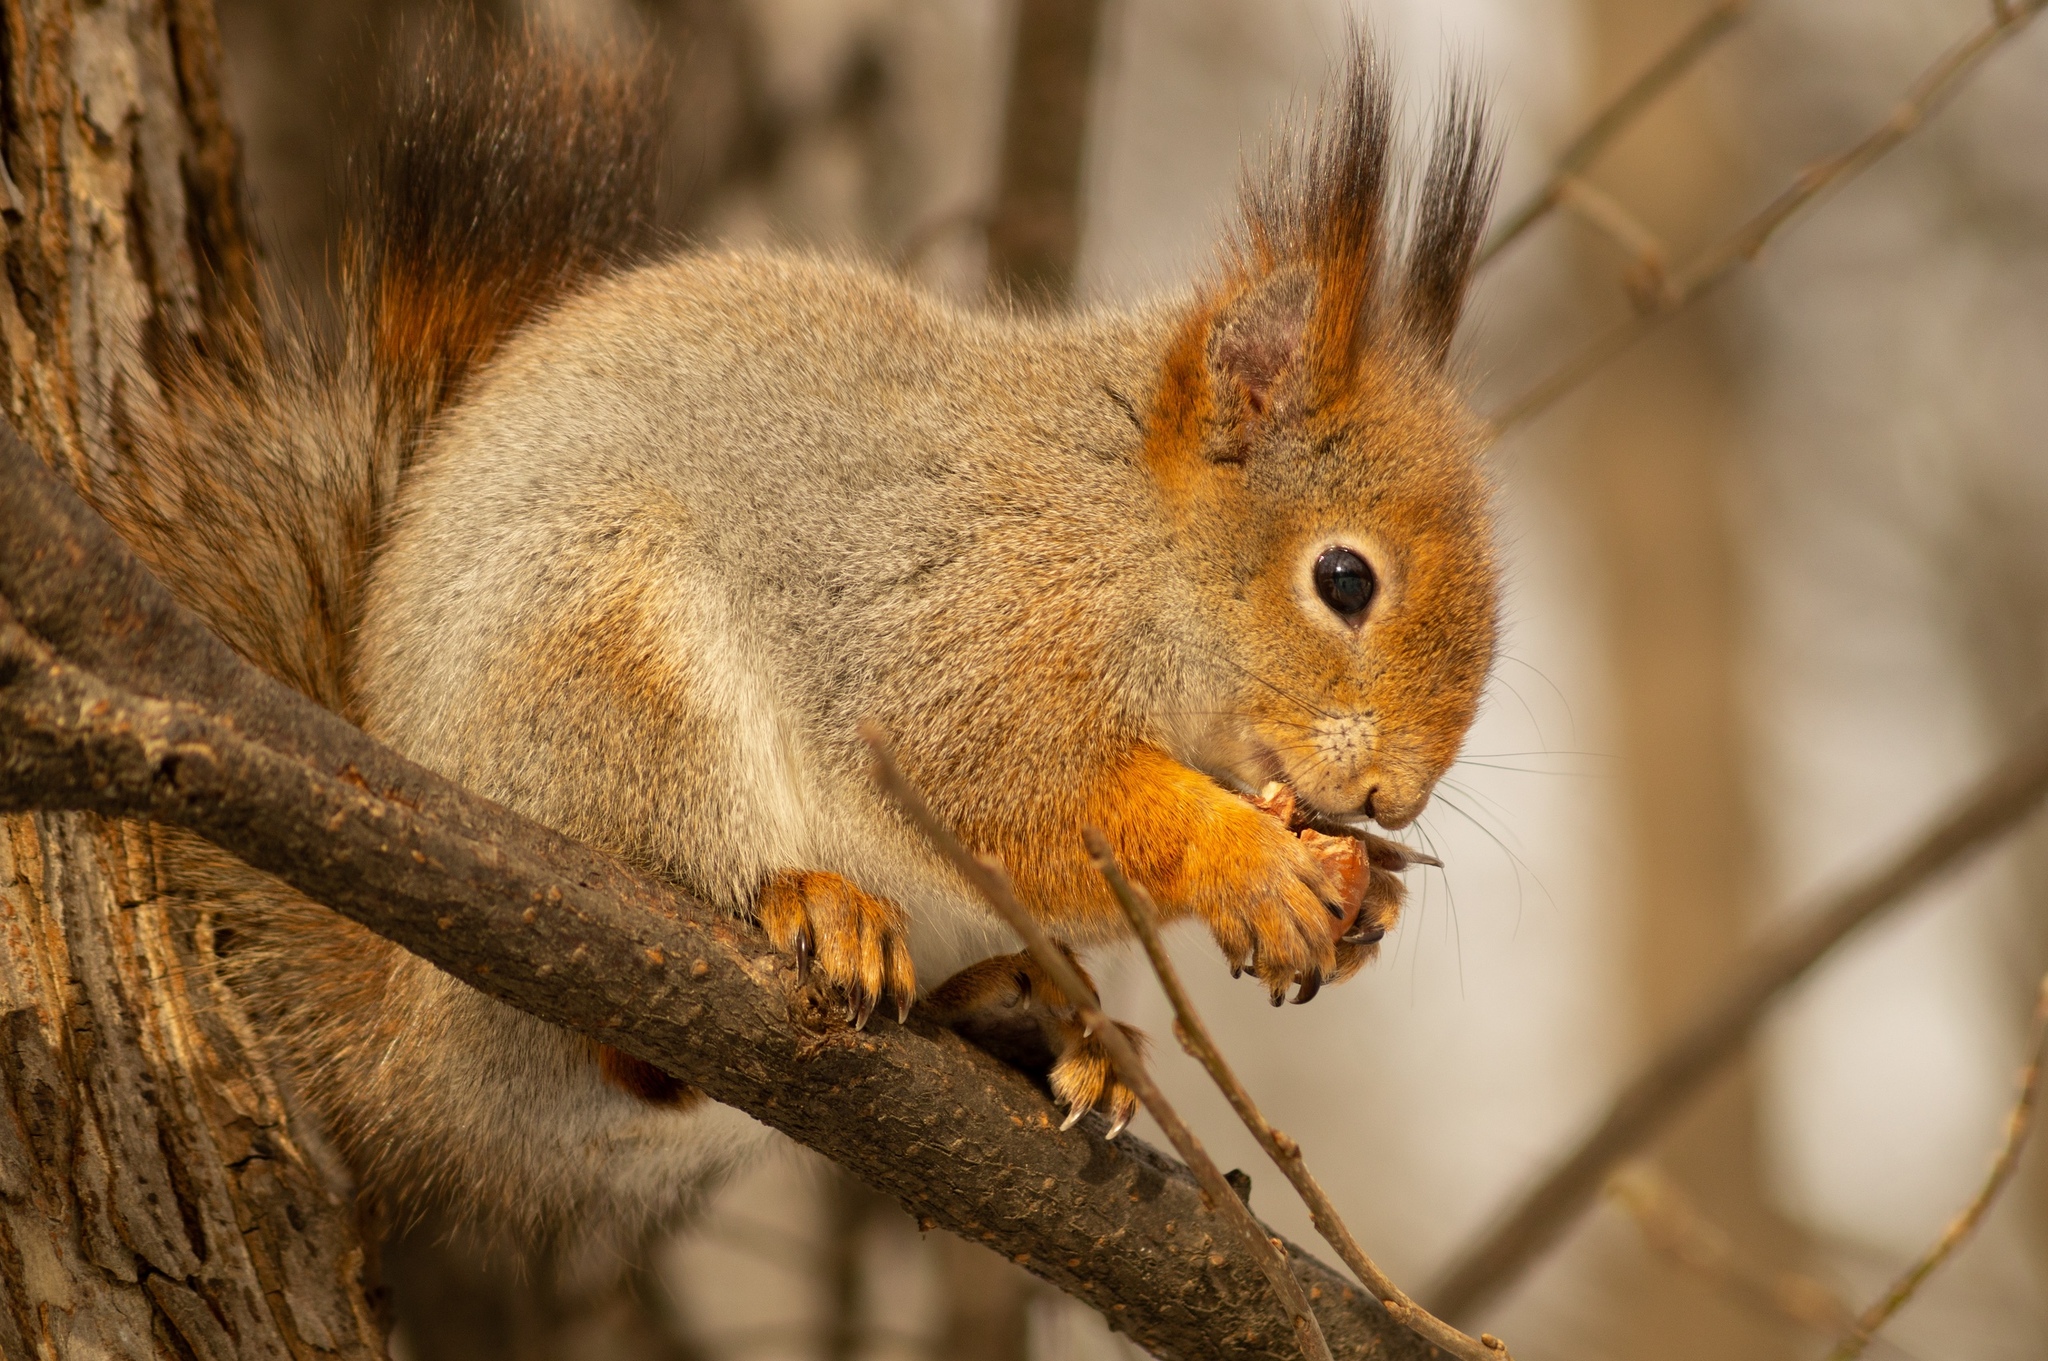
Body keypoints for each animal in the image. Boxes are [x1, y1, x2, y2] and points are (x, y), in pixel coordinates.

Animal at [88, 23, 1499, 1277]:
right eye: (1342, 578)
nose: (1393, 797)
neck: (1123, 533)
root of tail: (410, 1036)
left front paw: (1370, 894)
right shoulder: (951, 635)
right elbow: (1006, 792)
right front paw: (1246, 860)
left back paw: (1040, 1010)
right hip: (611, 681)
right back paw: (813, 903)